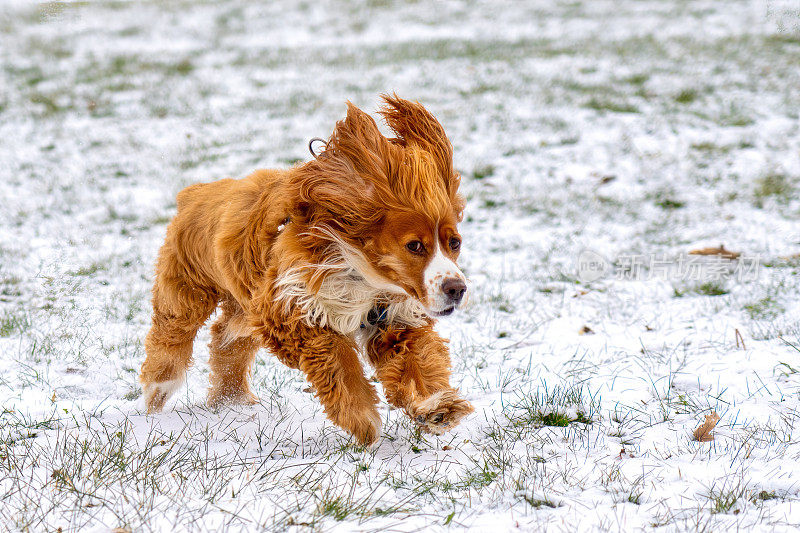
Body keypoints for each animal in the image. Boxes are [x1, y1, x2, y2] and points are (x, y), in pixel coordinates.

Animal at [140, 93, 472, 442]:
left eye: (454, 242)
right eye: (415, 246)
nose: (456, 288)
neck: (360, 271)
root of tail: (194, 193)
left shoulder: (393, 319)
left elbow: (415, 360)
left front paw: (437, 406)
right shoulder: (293, 312)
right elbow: (339, 362)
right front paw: (362, 417)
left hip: (244, 306)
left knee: (226, 338)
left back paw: (231, 400)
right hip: (188, 288)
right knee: (171, 336)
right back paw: (157, 393)